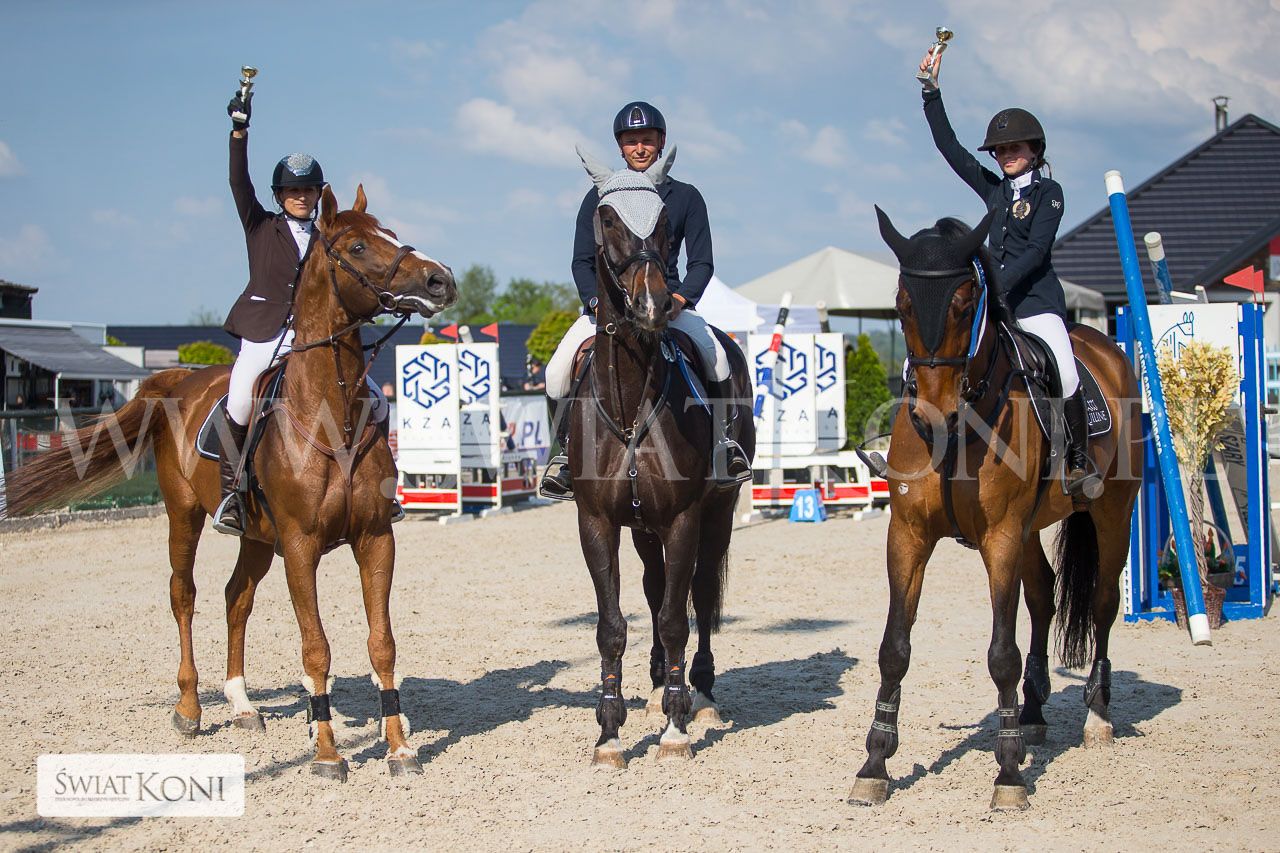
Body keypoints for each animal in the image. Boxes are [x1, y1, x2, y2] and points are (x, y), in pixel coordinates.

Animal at [4, 185, 457, 781]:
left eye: (392, 234)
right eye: (358, 247)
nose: (440, 280)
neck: (330, 415)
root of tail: (180, 378)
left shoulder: (376, 538)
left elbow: (382, 642)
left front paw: (399, 748)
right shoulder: (301, 546)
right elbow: (316, 647)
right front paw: (326, 753)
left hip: (258, 538)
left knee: (235, 597)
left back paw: (241, 704)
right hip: (184, 515)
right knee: (185, 595)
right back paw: (190, 707)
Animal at [565, 152, 755, 769]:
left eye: (667, 222)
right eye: (606, 219)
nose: (652, 305)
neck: (630, 404)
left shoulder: (684, 518)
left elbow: (677, 617)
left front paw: (675, 727)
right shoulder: (597, 522)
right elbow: (612, 624)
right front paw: (609, 734)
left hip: (717, 513)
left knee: (699, 590)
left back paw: (701, 694)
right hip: (643, 527)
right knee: (654, 586)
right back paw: (653, 688)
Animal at [847, 208, 1142, 810]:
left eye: (964, 304)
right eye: (901, 304)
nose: (931, 417)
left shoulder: (1001, 536)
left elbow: (1000, 651)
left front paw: (1008, 774)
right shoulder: (908, 535)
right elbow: (893, 648)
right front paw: (875, 763)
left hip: (1111, 513)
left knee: (1103, 602)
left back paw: (1097, 716)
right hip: (1029, 532)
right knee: (1044, 596)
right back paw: (1031, 711)